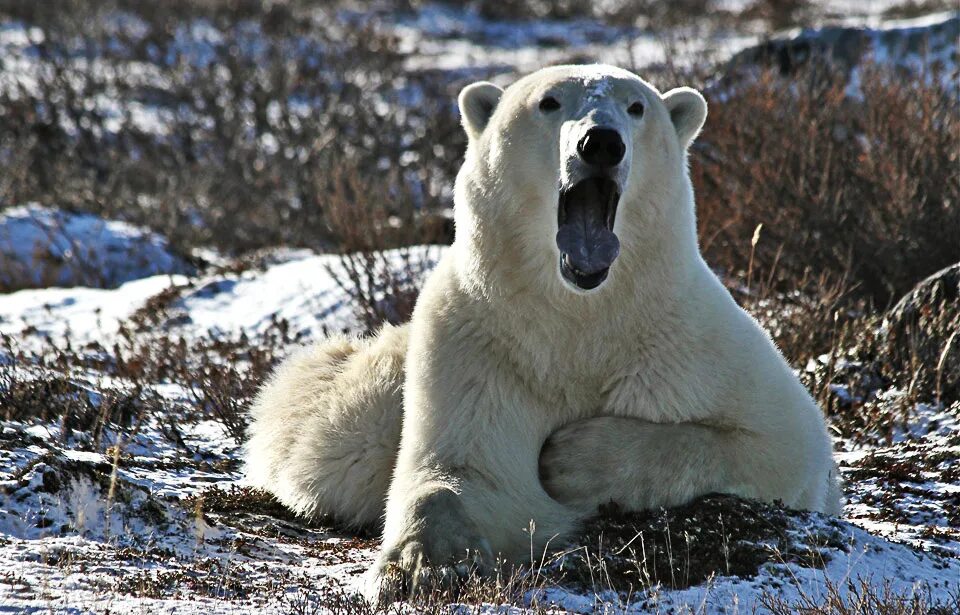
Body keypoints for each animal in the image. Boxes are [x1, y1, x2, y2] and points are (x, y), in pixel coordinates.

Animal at [246, 65, 840, 600]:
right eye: (549, 102)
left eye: (636, 107)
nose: (601, 143)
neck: (581, 312)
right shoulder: (481, 346)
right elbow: (463, 473)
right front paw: (422, 566)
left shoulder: (693, 344)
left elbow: (774, 443)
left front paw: (571, 458)